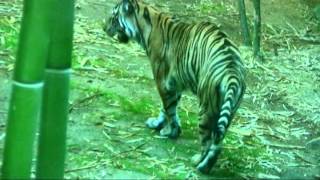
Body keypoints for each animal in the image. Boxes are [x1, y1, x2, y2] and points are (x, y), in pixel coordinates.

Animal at [104, 0, 246, 174]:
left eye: (114, 17)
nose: (104, 28)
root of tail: (232, 70)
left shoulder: (163, 81)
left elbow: (169, 109)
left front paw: (170, 132)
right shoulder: (174, 83)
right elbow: (167, 108)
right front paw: (159, 124)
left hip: (206, 107)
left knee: (207, 141)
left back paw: (199, 163)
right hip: (229, 109)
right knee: (218, 141)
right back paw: (205, 165)